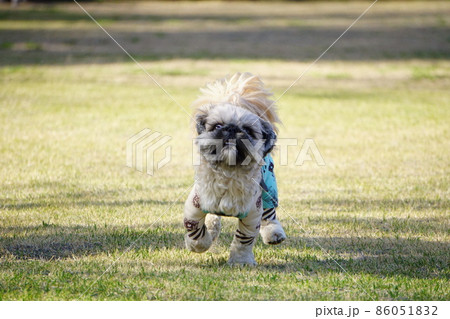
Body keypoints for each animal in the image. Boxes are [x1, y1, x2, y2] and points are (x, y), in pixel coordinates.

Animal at [182, 74, 284, 266]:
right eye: (217, 126)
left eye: (248, 131)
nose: (231, 128)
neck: (228, 173)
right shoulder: (195, 206)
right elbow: (195, 230)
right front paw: (199, 244)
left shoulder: (252, 215)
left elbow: (244, 241)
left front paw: (240, 261)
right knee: (213, 218)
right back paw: (212, 229)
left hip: (268, 188)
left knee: (269, 214)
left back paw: (274, 233)